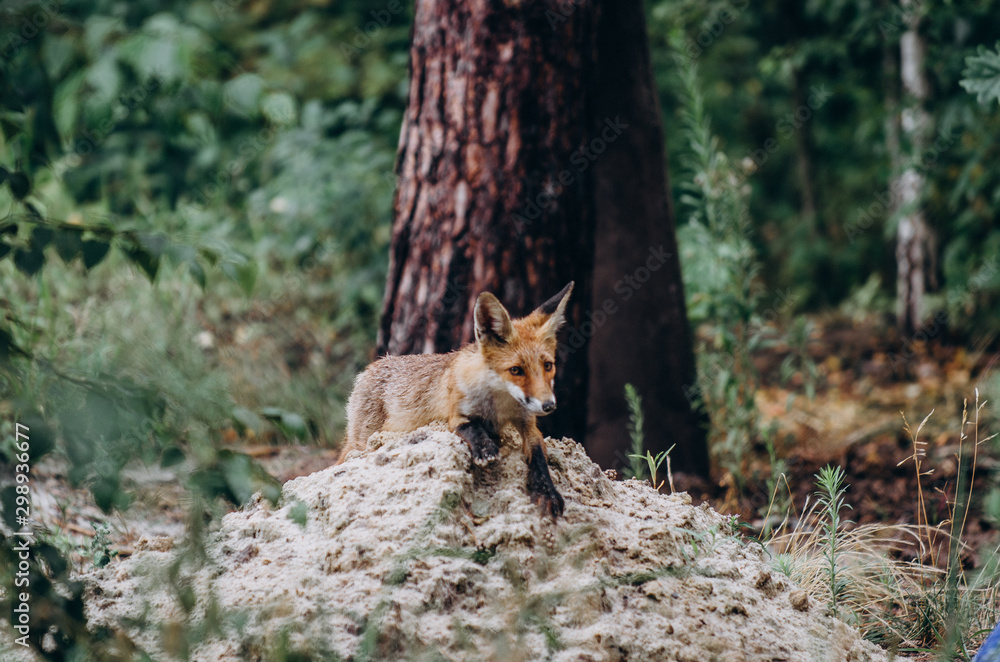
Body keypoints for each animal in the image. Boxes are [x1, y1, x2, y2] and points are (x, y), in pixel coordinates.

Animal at [342, 282, 575, 518]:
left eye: (548, 366)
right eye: (516, 370)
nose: (549, 405)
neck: (500, 405)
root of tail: (372, 366)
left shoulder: (528, 423)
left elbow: (539, 457)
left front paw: (547, 492)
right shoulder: (455, 416)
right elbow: (472, 427)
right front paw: (485, 448)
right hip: (362, 441)